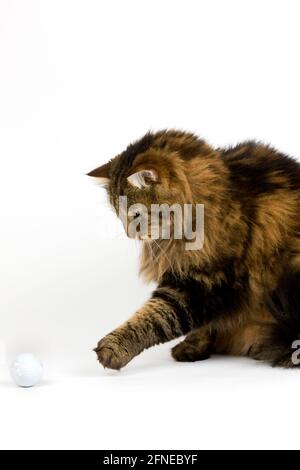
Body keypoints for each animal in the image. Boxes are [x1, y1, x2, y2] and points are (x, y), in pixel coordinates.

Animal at [88, 129, 300, 370]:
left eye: (136, 214)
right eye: (119, 215)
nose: (128, 233)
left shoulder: (203, 282)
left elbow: (154, 319)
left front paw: (113, 348)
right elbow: (204, 326)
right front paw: (193, 347)